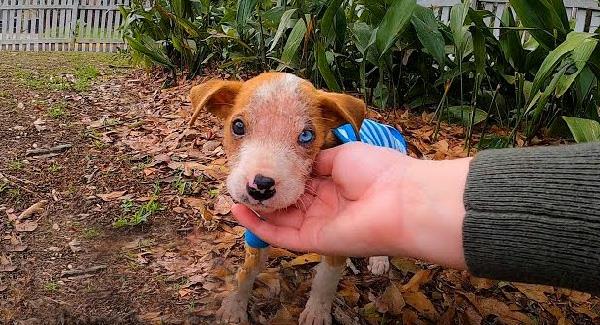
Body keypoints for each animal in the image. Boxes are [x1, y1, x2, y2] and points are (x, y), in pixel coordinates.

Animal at [189, 72, 408, 322]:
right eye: (237, 126)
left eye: (306, 135)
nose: (261, 187)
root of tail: (387, 127)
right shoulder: (256, 233)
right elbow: (245, 273)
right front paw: (235, 306)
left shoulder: (334, 244)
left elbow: (325, 283)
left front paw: (316, 314)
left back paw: (379, 260)